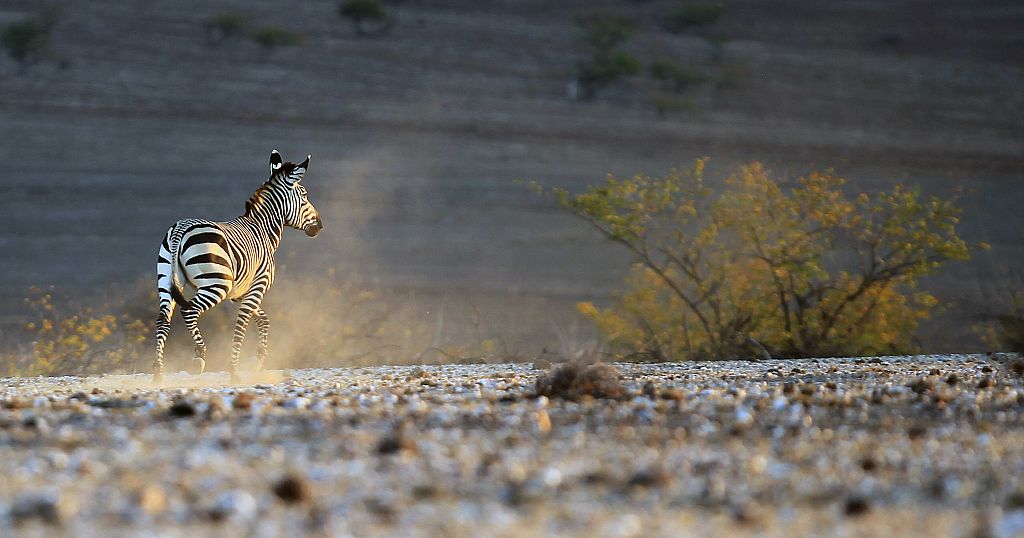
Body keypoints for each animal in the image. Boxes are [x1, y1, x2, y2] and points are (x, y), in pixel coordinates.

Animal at [151, 149, 323, 381]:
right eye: (304, 196)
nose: (320, 225)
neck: (263, 229)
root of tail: (180, 228)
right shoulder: (257, 286)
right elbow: (242, 326)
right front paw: (234, 371)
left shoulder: (239, 293)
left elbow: (263, 320)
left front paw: (258, 361)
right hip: (216, 284)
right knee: (189, 311)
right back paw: (199, 356)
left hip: (166, 280)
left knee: (162, 319)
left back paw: (158, 373)